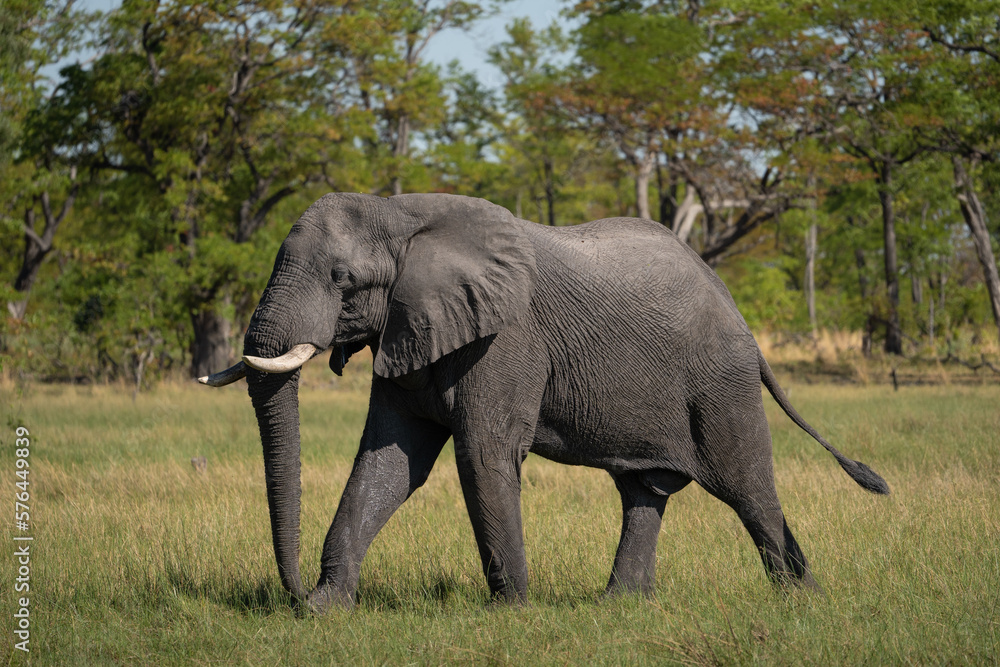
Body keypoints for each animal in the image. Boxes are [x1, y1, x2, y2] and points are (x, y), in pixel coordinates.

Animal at [201, 192, 889, 614]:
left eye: (343, 282)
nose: (290, 595)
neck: (402, 213)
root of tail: (737, 309)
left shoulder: (507, 338)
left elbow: (482, 456)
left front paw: (510, 612)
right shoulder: (408, 331)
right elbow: (389, 464)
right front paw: (326, 610)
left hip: (721, 385)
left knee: (748, 490)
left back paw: (800, 600)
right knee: (645, 492)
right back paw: (619, 608)